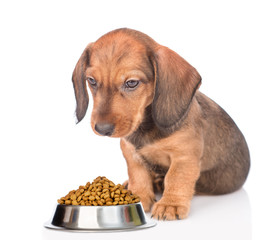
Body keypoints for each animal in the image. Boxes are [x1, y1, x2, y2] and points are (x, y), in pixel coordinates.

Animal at [71, 27, 250, 219]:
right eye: (91, 81)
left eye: (131, 83)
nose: (102, 129)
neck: (146, 127)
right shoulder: (131, 153)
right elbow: (138, 175)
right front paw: (139, 197)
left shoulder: (184, 156)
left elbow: (176, 177)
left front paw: (170, 204)